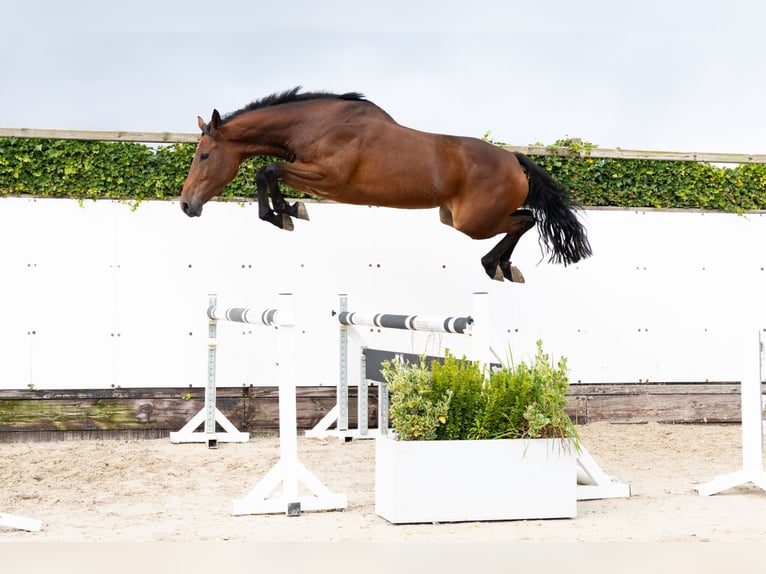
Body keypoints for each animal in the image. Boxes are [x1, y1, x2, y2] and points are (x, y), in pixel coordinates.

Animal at [180, 87, 592, 282]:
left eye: (204, 155)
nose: (186, 204)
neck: (315, 124)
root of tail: (514, 159)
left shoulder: (328, 179)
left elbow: (266, 171)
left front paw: (283, 213)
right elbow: (270, 172)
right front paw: (288, 210)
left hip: (473, 223)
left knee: (526, 219)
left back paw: (495, 265)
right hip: (453, 218)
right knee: (525, 219)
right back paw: (503, 266)